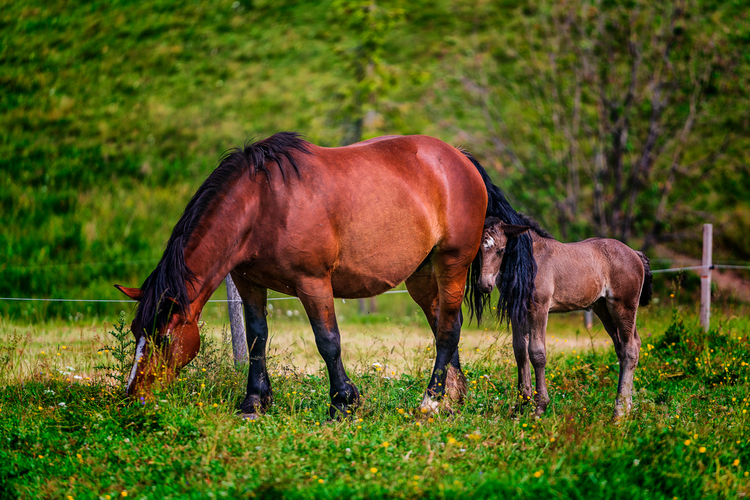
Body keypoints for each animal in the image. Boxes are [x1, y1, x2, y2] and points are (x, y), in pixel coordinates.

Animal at [114, 132, 524, 418]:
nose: (134, 396)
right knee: (441, 323)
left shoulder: (312, 283)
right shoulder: (249, 283)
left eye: (163, 338)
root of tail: (459, 158)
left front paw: (343, 403)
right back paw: (453, 396)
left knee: (449, 328)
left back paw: (432, 401)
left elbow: (328, 341)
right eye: (136, 332)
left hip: (451, 264)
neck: (263, 202)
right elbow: (257, 339)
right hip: (421, 276)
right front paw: (254, 402)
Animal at [482, 217, 652, 420]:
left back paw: (618, 413)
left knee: (630, 348)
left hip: (623, 306)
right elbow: (520, 351)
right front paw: (521, 406)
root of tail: (635, 253)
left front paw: (540, 407)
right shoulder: (517, 310)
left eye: (501, 250)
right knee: (625, 346)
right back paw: (627, 407)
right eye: (478, 250)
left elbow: (537, 352)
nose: (484, 285)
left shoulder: (539, 308)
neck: (530, 259)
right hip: (603, 308)